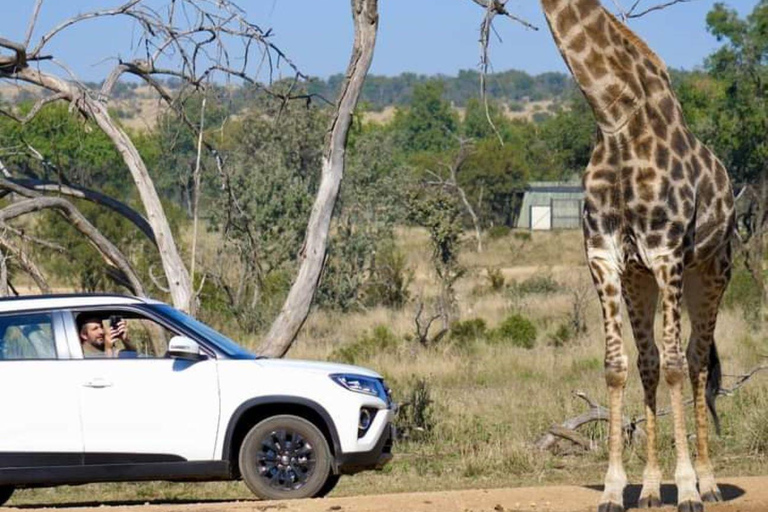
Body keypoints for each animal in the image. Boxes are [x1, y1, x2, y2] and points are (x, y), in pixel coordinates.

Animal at [536, 1, 736, 512]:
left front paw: (686, 488)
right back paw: (648, 490)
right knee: (650, 361)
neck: (616, 120)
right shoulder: (606, 257)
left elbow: (675, 366)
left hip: (711, 271)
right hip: (640, 279)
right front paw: (613, 489)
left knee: (695, 359)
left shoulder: (667, 252)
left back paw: (708, 483)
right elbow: (617, 366)